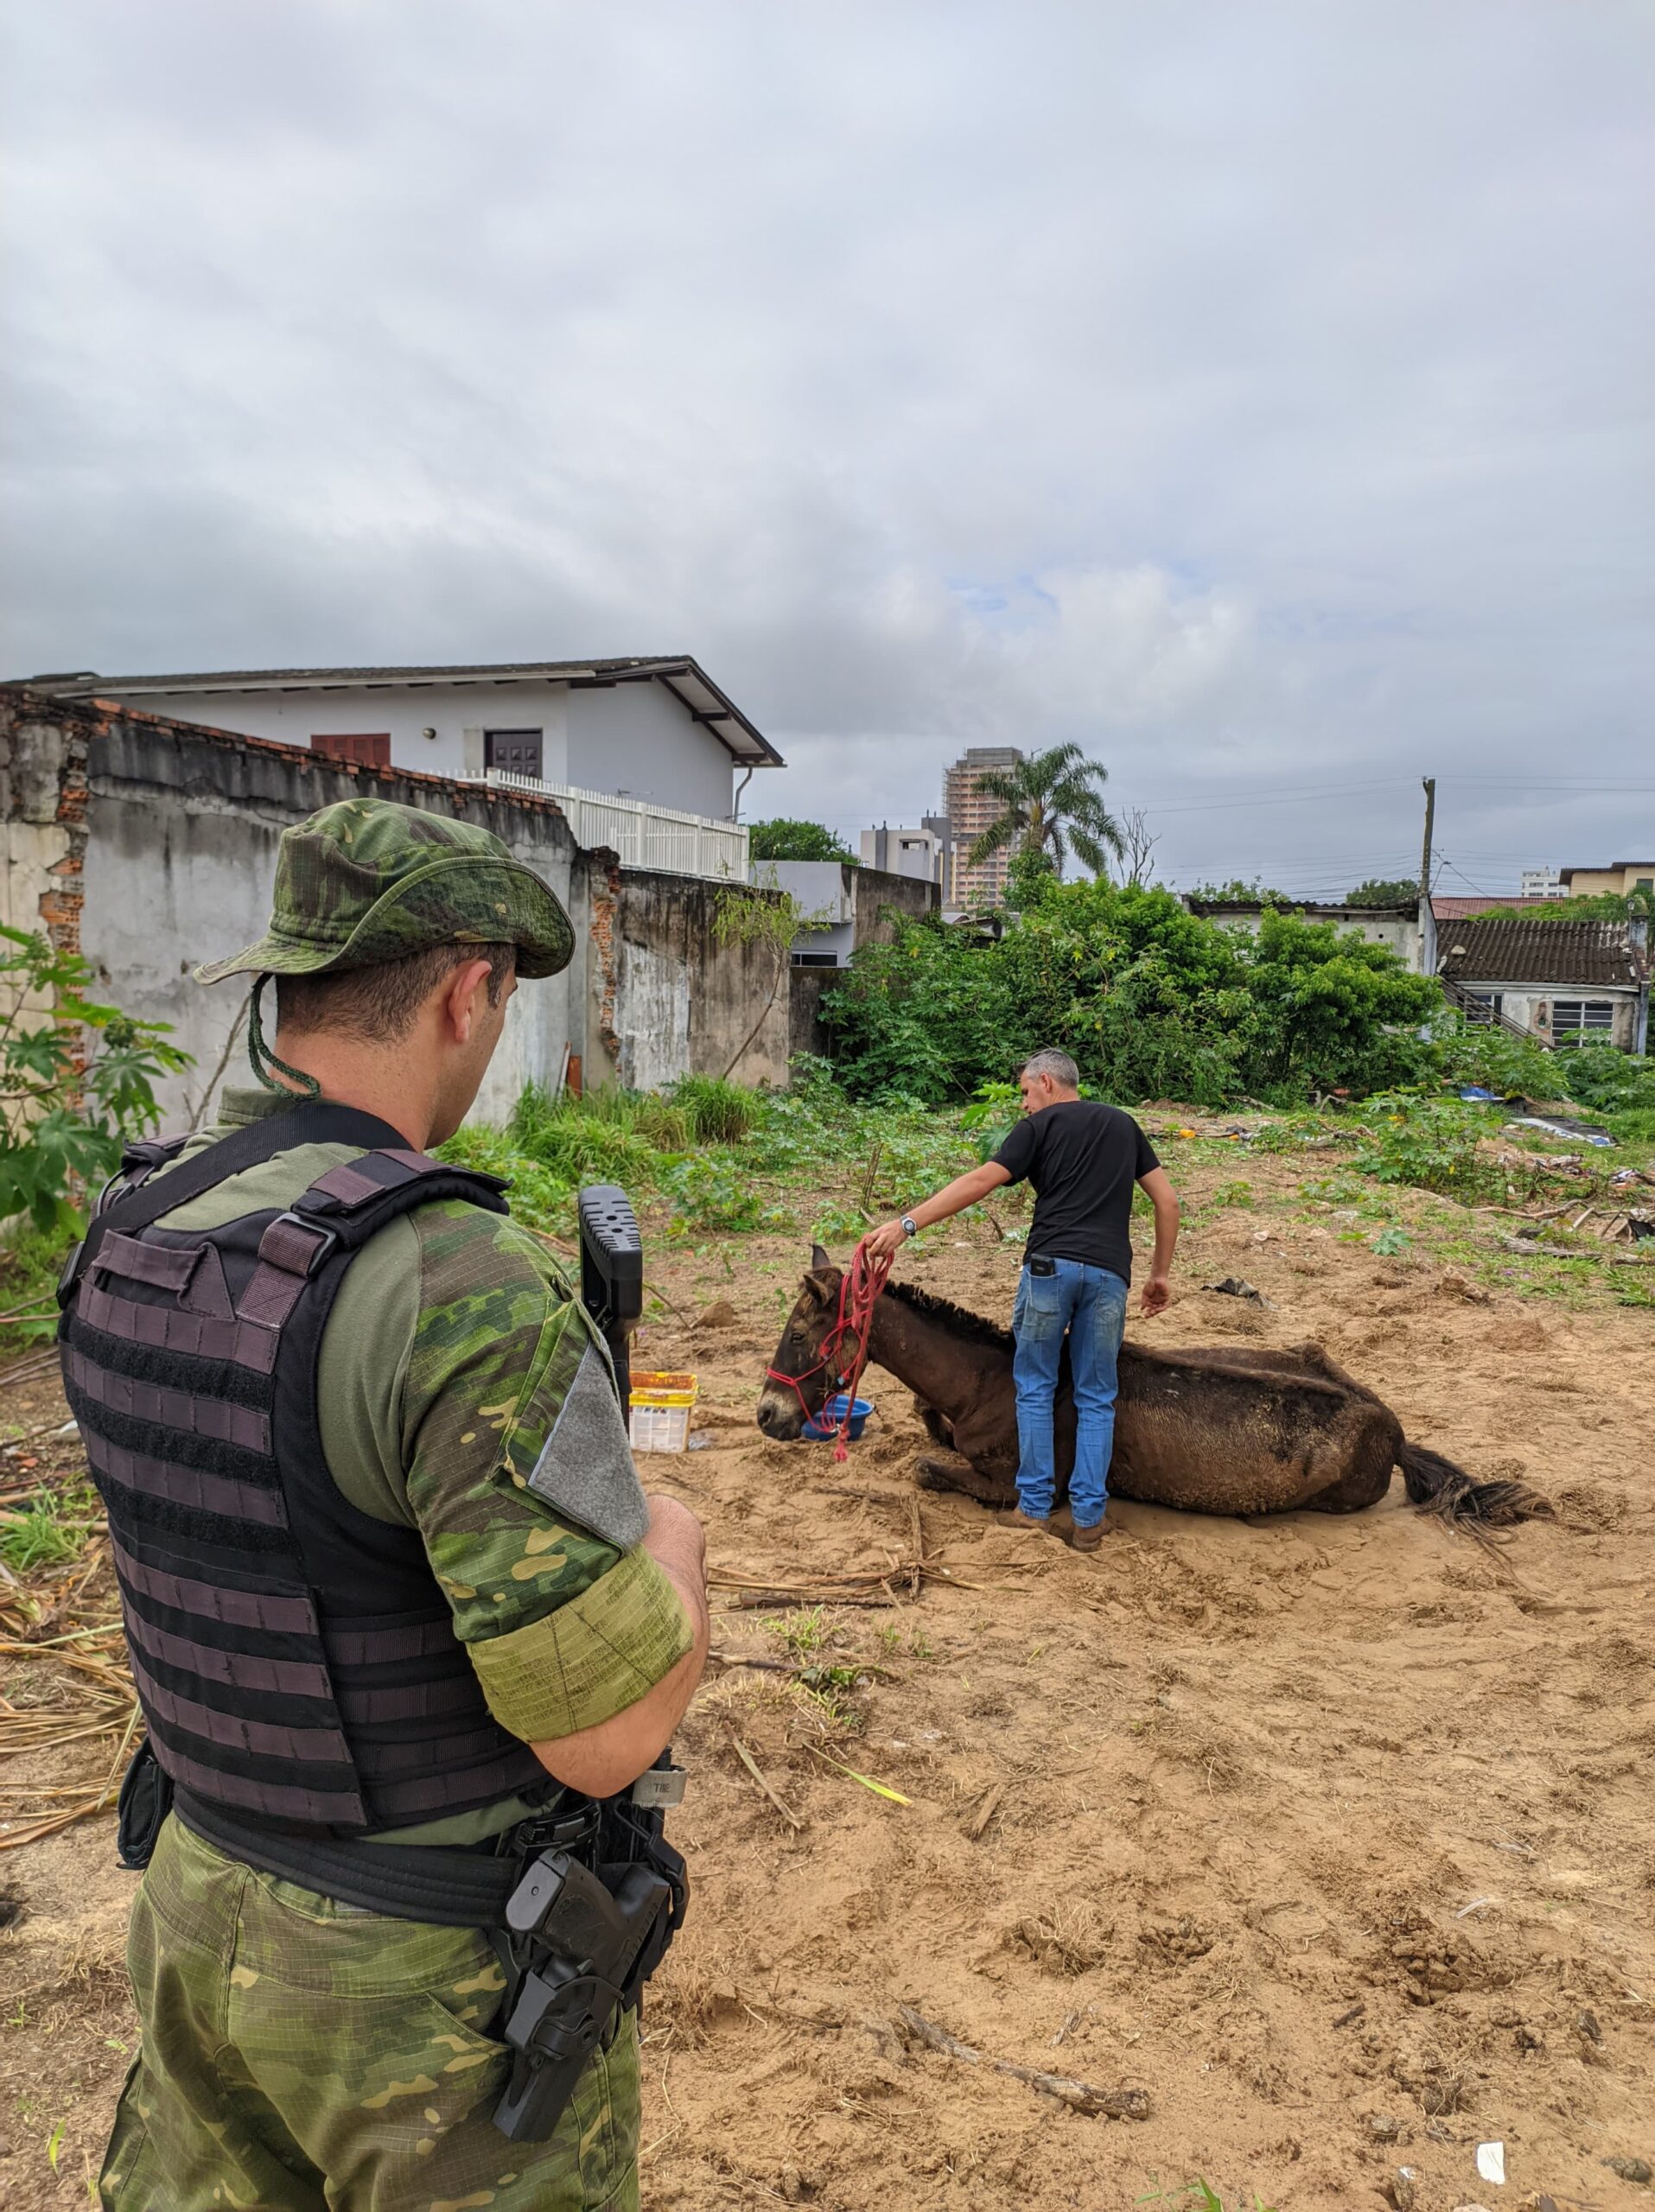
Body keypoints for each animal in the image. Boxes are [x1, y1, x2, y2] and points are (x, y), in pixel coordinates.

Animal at [756, 1256, 1549, 1530]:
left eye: (797, 1335)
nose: (766, 1415)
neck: (985, 1379)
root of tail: (1393, 1428)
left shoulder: (1016, 1484)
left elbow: (929, 1467)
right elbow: (927, 1427)